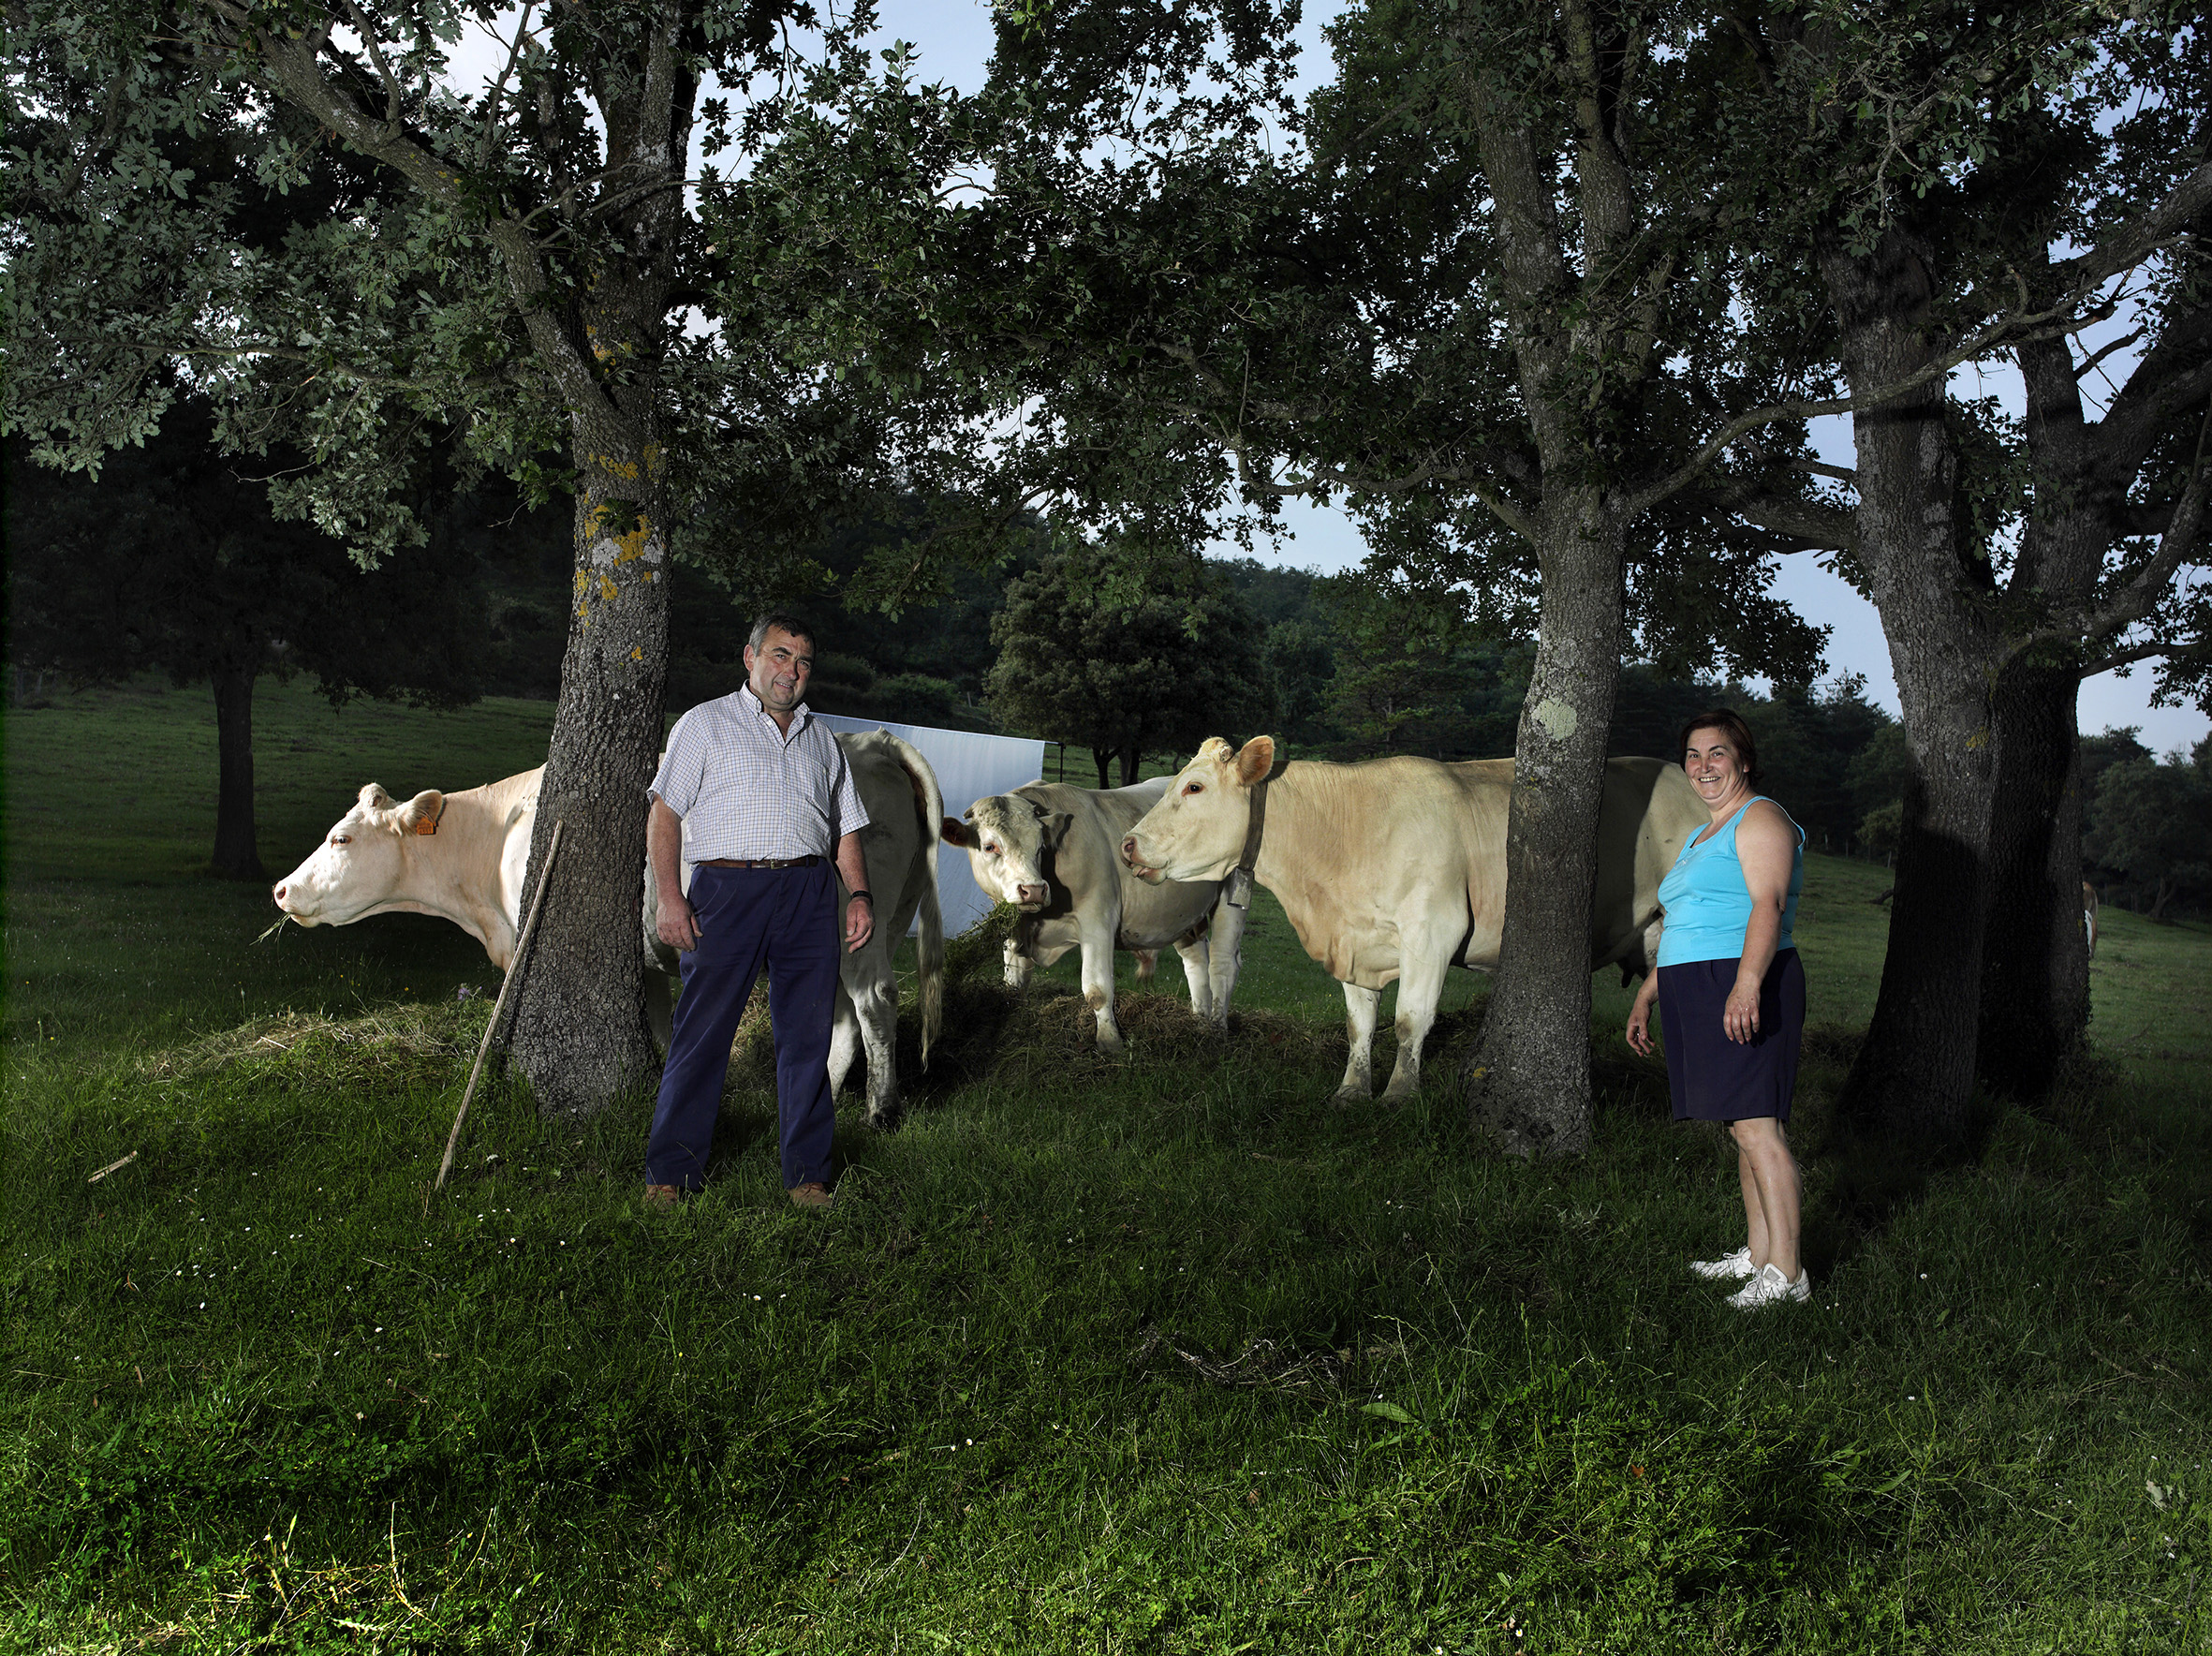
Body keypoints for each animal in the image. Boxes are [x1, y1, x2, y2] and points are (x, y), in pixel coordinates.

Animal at [273, 729, 944, 1127]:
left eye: (341, 838)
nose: (281, 889)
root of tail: (873, 740)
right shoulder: (648, 958)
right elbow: (666, 1031)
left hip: (857, 922)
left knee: (874, 1001)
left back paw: (881, 1109)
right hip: (873, 924)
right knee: (841, 1016)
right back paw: (821, 1096)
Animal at [939, 778, 1246, 1055]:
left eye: (1040, 847)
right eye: (990, 847)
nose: (1033, 889)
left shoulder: (1098, 921)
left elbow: (1098, 990)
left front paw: (1110, 1043)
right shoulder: (1015, 933)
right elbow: (1014, 986)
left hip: (1233, 895)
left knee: (1223, 966)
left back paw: (1217, 1031)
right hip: (1182, 916)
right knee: (1196, 962)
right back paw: (1199, 1023)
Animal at [1120, 736, 1709, 1104]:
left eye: (1194, 787)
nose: (1127, 844)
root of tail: (1684, 778)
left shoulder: (1433, 931)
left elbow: (1410, 1018)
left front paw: (1400, 1093)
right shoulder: (1356, 942)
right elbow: (1360, 1024)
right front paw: (1352, 1090)